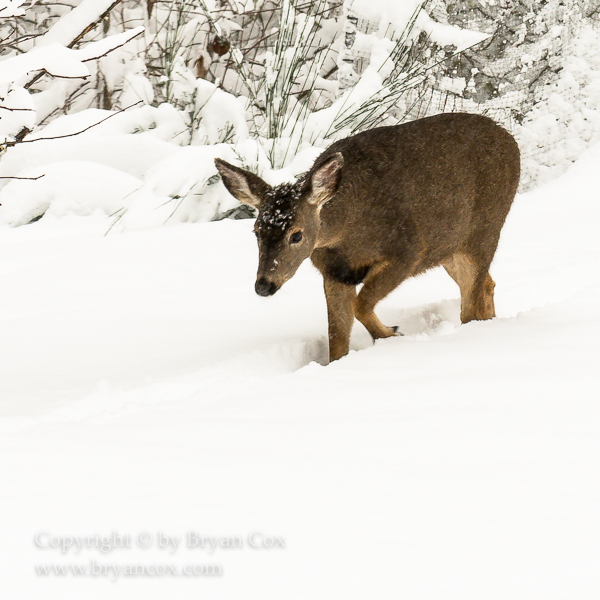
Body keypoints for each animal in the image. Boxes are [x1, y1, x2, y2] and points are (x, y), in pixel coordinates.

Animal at [216, 115, 520, 364]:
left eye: (297, 234)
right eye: (256, 231)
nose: (264, 285)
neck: (347, 234)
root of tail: (512, 141)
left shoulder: (408, 251)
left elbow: (361, 305)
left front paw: (392, 334)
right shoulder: (334, 273)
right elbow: (337, 337)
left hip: (485, 230)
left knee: (471, 306)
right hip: (450, 248)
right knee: (487, 285)